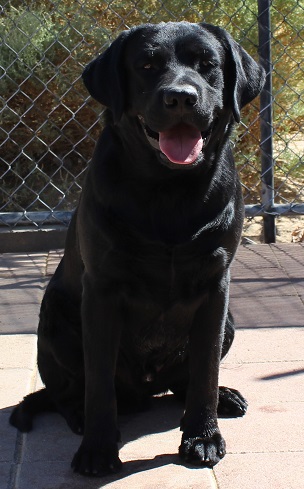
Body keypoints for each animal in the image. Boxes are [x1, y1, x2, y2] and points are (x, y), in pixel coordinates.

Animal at [10, 22, 264, 476]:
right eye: (147, 65)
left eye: (207, 64)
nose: (180, 96)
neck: (168, 191)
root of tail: (148, 388)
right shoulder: (101, 290)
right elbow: (99, 385)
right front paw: (97, 449)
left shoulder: (216, 287)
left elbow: (204, 372)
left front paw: (202, 436)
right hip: (55, 319)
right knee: (67, 393)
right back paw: (80, 416)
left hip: (230, 320)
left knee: (183, 383)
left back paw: (224, 397)